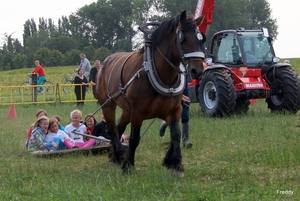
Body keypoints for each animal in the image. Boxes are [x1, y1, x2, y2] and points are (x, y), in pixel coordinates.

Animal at [96, 11, 206, 177]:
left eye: (201, 39)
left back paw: (115, 157)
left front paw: (175, 164)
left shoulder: (175, 110)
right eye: (183, 39)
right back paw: (117, 156)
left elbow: (176, 135)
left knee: (119, 127)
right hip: (108, 104)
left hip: (127, 110)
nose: (197, 70)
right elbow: (134, 138)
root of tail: (106, 61)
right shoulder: (137, 112)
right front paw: (128, 166)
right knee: (112, 129)